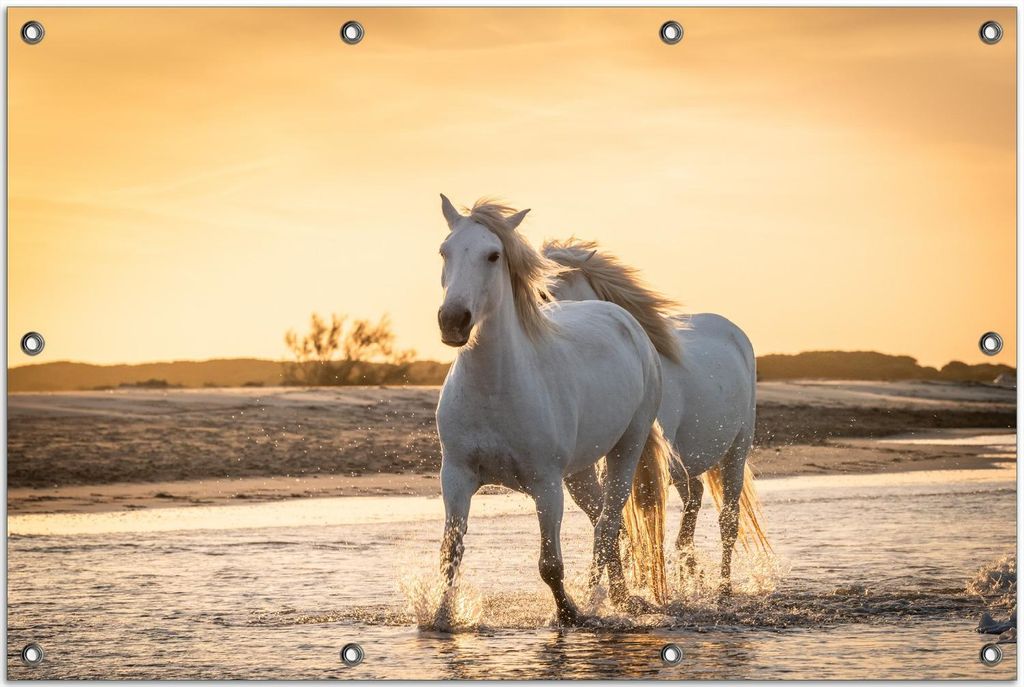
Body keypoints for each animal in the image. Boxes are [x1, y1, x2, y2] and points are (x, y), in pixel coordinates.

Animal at [434, 196, 677, 626]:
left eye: (493, 255)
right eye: (444, 251)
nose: (453, 321)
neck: (495, 389)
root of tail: (625, 321)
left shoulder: (545, 485)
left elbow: (550, 564)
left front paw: (569, 615)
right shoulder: (457, 477)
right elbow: (451, 555)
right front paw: (440, 620)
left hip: (626, 449)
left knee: (608, 524)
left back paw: (605, 600)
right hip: (579, 473)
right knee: (607, 522)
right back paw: (617, 596)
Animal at [542, 239, 770, 595]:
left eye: (549, 292)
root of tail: (734, 332)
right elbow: (611, 523)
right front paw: (612, 589)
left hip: (736, 449)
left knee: (728, 521)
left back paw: (723, 587)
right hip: (686, 464)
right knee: (694, 499)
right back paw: (693, 575)